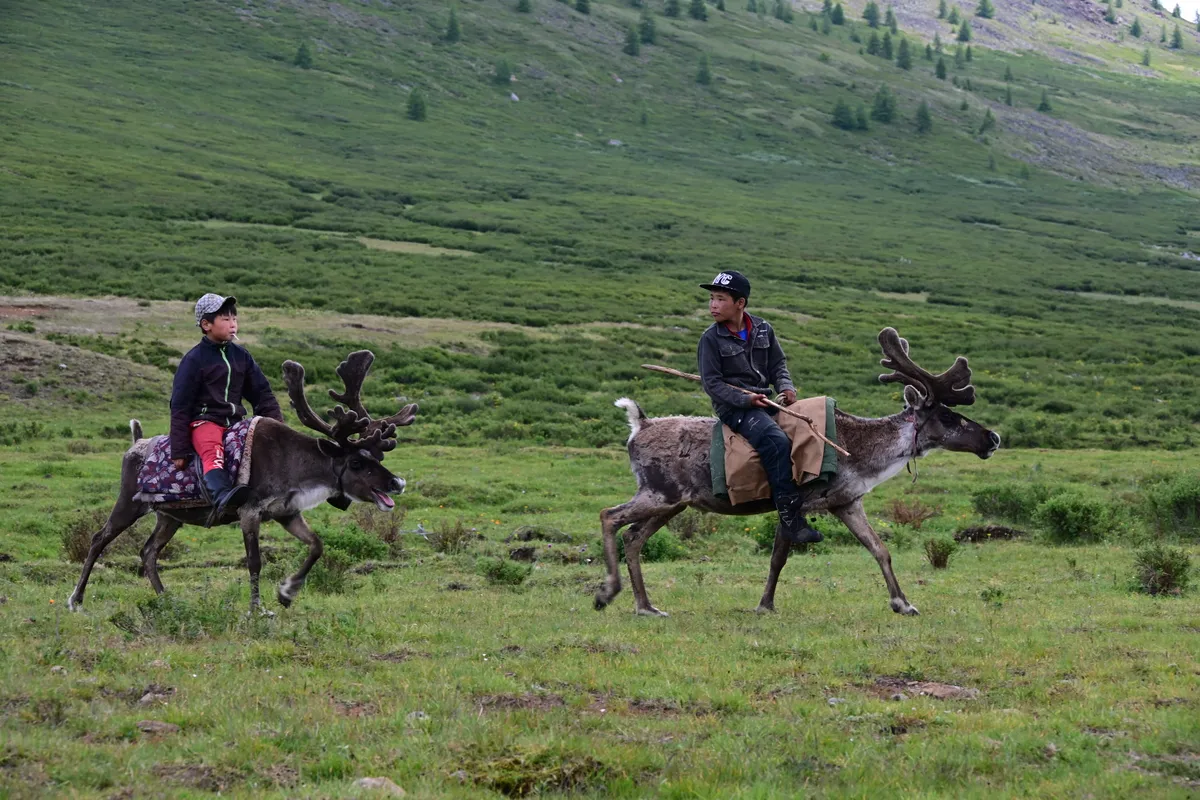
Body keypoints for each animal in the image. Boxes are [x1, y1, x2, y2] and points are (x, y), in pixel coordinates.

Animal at [67, 351, 417, 615]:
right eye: (356, 462)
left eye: (378, 457)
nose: (397, 482)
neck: (296, 468)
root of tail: (135, 444)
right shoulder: (250, 511)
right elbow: (254, 561)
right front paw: (257, 609)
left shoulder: (287, 512)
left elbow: (317, 545)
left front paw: (287, 592)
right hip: (129, 502)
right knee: (99, 538)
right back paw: (76, 600)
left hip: (170, 516)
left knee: (148, 551)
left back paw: (167, 599)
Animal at [593, 328, 1001, 618]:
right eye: (947, 415)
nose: (992, 437)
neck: (861, 453)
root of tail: (638, 425)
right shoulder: (796, 502)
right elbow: (779, 557)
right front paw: (764, 605)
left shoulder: (847, 503)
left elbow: (880, 550)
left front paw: (903, 603)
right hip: (659, 493)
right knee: (609, 516)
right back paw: (607, 593)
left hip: (674, 503)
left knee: (634, 537)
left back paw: (646, 606)